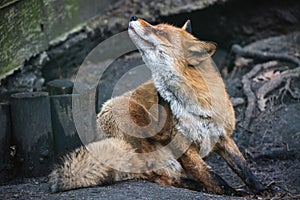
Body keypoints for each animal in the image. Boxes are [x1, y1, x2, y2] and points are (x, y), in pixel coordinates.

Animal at [48, 16, 266, 195]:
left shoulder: (222, 135)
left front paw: (262, 190)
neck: (193, 103)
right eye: (157, 27)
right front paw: (235, 193)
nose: (134, 17)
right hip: (121, 115)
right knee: (160, 177)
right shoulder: (183, 146)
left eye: (160, 32)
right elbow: (213, 177)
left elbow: (243, 168)